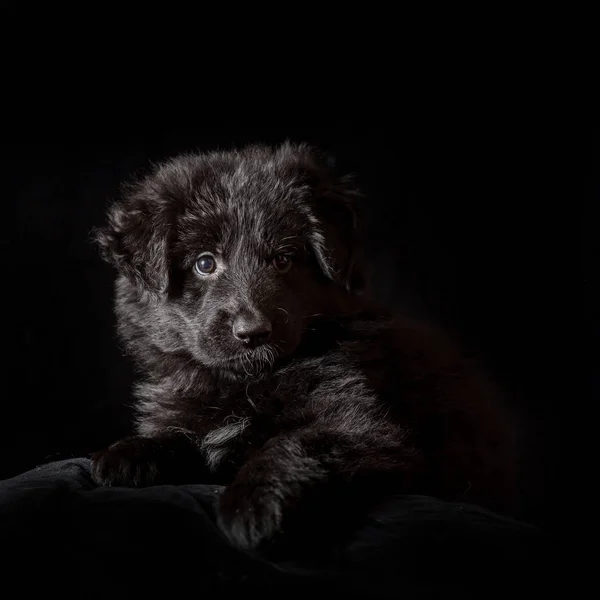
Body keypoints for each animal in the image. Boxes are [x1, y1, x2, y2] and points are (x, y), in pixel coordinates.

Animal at [91, 141, 516, 548]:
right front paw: (127, 453)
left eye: (283, 260)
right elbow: (179, 436)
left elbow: (289, 444)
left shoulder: (367, 431)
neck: (245, 381)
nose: (253, 332)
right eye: (205, 263)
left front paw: (252, 508)